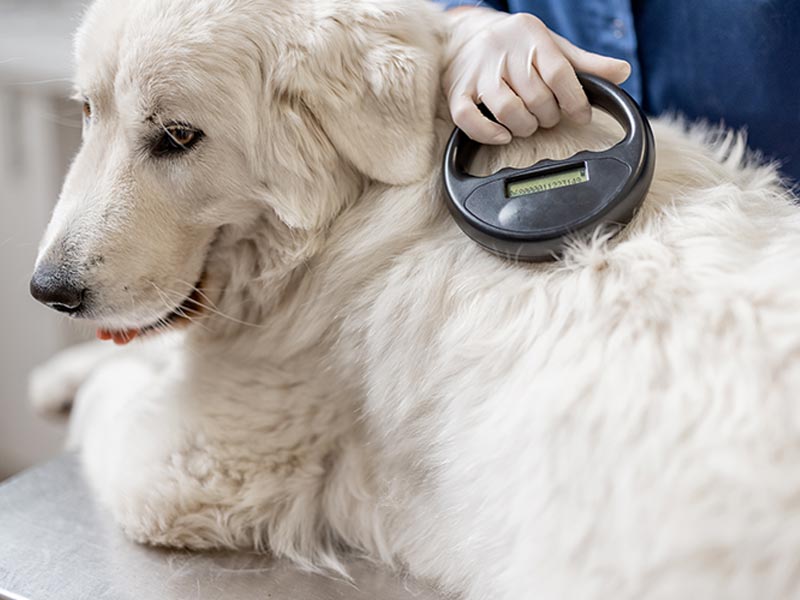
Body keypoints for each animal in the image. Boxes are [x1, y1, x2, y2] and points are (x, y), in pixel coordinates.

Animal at [28, 1, 800, 600]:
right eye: (88, 110)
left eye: (178, 136)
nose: (48, 291)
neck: (355, 209)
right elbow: (126, 364)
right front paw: (59, 373)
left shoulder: (188, 467)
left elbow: (114, 396)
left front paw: (85, 386)